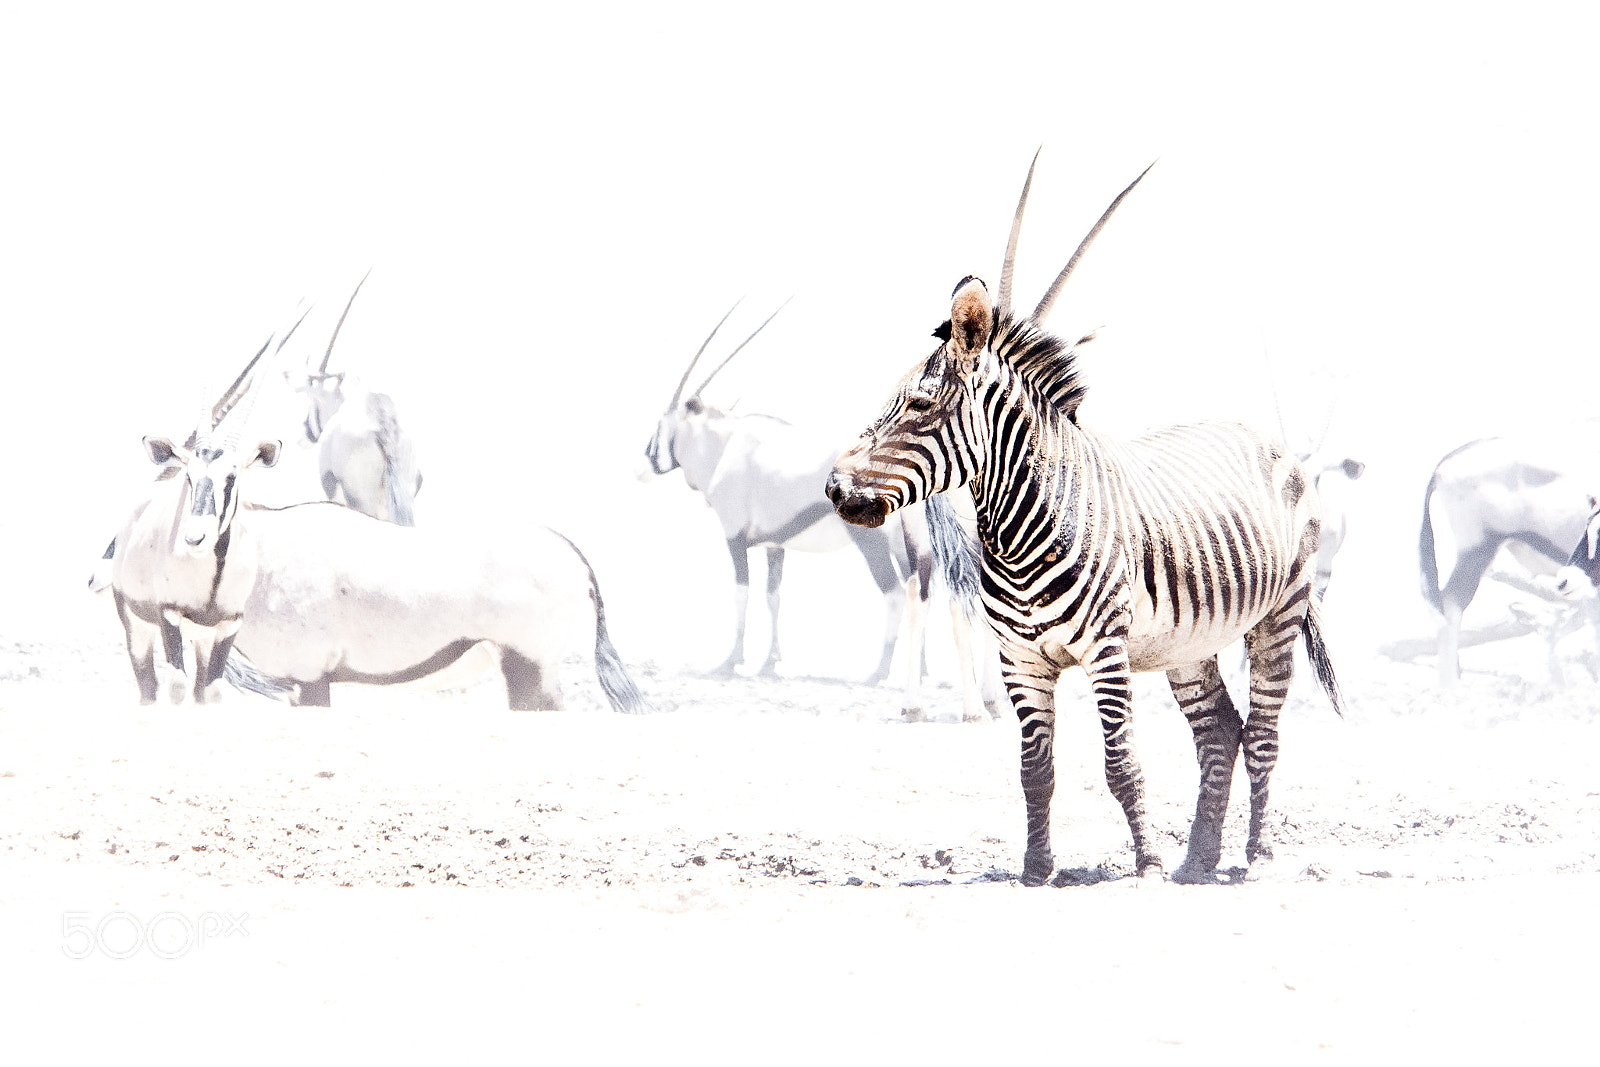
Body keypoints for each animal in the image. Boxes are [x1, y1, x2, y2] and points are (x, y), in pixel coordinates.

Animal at [642, 302, 1005, 721]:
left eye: (660, 426)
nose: (645, 462)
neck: (726, 447)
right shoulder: (775, 545)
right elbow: (774, 596)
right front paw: (770, 662)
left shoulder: (734, 539)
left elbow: (742, 594)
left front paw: (731, 661)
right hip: (909, 544)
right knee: (922, 589)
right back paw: (922, 671)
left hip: (871, 544)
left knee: (896, 593)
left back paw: (879, 673)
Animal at [825, 155, 1341, 885]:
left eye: (920, 405)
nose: (834, 488)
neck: (1018, 534)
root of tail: (1266, 438)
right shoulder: (1020, 660)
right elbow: (1033, 770)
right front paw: (1037, 868)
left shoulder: (1106, 647)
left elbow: (1120, 763)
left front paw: (1145, 862)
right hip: (1190, 641)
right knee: (1221, 731)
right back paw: (1197, 861)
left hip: (1281, 612)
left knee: (1264, 733)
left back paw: (1253, 858)